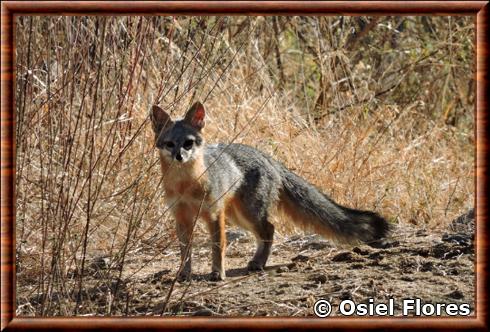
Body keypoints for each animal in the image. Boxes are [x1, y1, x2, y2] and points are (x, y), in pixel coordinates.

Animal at [150, 100, 390, 280]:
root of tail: (267, 157)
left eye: (188, 143)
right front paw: (183, 274)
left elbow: (218, 246)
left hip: (248, 214)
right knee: (267, 231)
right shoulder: (181, 217)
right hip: (238, 216)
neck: (186, 185)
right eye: (170, 144)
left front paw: (218, 273)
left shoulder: (214, 214)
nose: (179, 156)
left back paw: (258, 263)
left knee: (270, 229)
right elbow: (185, 251)